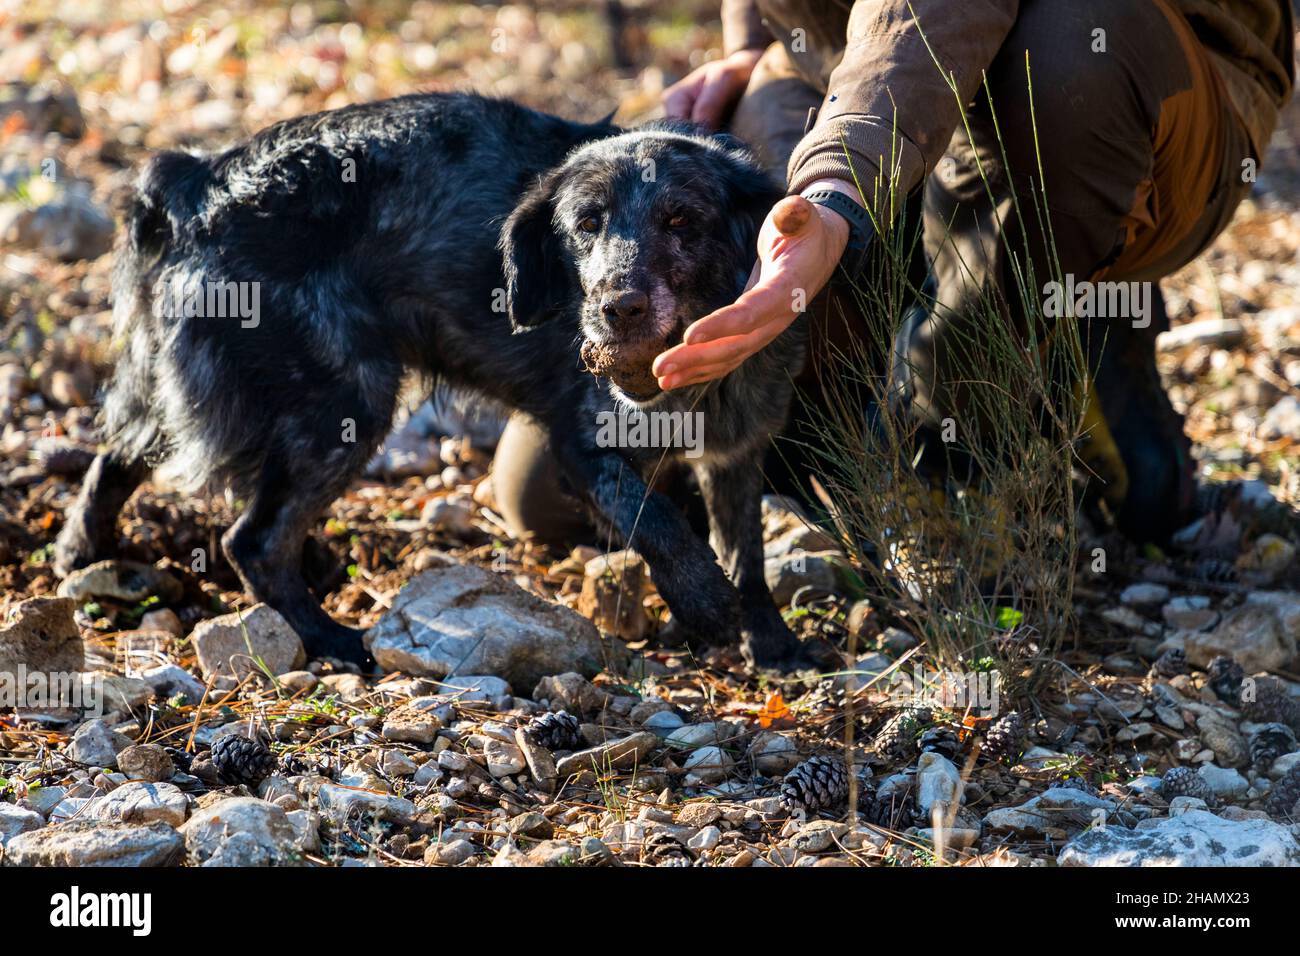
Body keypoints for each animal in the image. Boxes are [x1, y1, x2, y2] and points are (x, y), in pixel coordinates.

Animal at [58, 93, 811, 671]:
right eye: (585, 225)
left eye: (682, 219)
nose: (614, 308)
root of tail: (197, 179)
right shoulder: (583, 445)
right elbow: (653, 517)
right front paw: (701, 601)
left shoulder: (736, 451)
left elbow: (746, 551)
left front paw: (772, 641)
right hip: (345, 404)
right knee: (253, 540)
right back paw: (332, 639)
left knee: (119, 454)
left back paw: (81, 550)